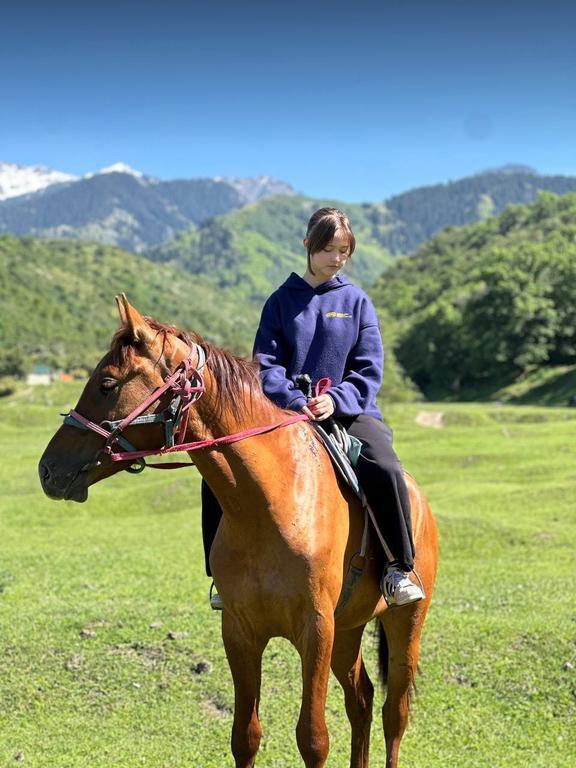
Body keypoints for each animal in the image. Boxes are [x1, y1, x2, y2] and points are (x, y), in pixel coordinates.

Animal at [39, 295, 438, 768]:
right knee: (361, 699)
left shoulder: (316, 629)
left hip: (404, 622)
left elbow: (313, 738)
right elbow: (244, 736)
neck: (270, 504)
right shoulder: (240, 631)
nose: (48, 470)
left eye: (106, 383)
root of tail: (419, 501)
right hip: (349, 628)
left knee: (395, 712)